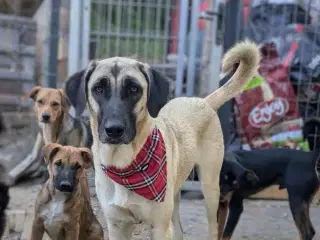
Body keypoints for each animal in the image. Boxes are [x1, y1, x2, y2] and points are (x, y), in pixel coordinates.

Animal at [84, 40, 260, 239]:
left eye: (134, 89)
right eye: (98, 89)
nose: (114, 129)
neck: (124, 165)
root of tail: (203, 101)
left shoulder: (160, 227)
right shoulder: (117, 226)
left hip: (211, 189)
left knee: (213, 227)